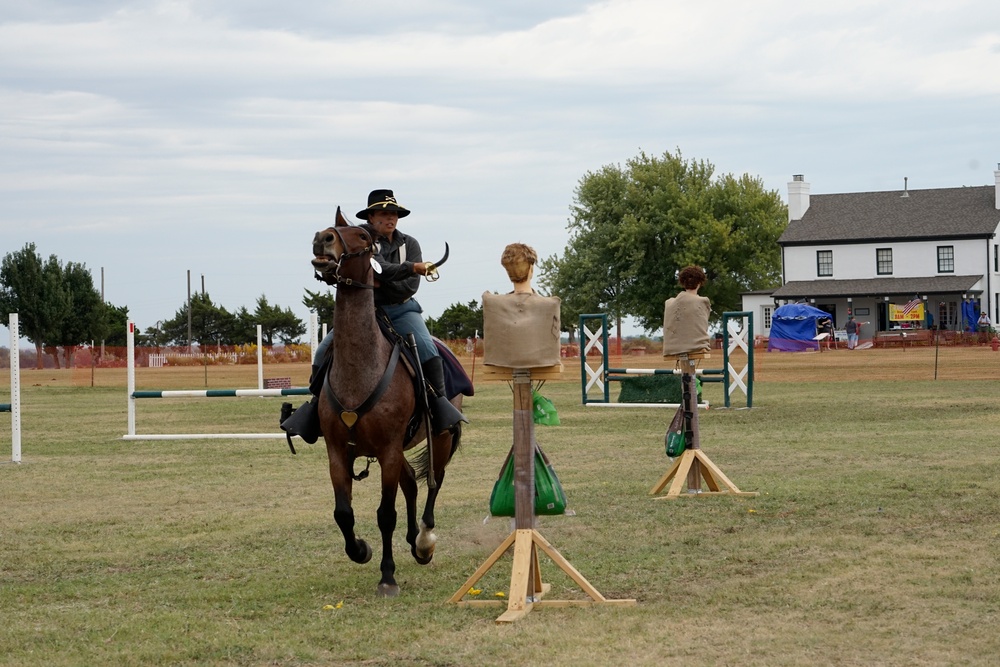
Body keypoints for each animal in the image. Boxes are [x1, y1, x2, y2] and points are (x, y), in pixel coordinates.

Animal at [308, 206, 464, 596]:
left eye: (363, 237)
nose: (322, 239)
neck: (360, 368)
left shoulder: (390, 449)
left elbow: (385, 514)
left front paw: (388, 576)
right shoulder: (338, 451)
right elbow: (343, 512)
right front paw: (360, 550)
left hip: (440, 438)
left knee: (434, 481)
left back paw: (424, 541)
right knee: (411, 482)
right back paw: (412, 539)